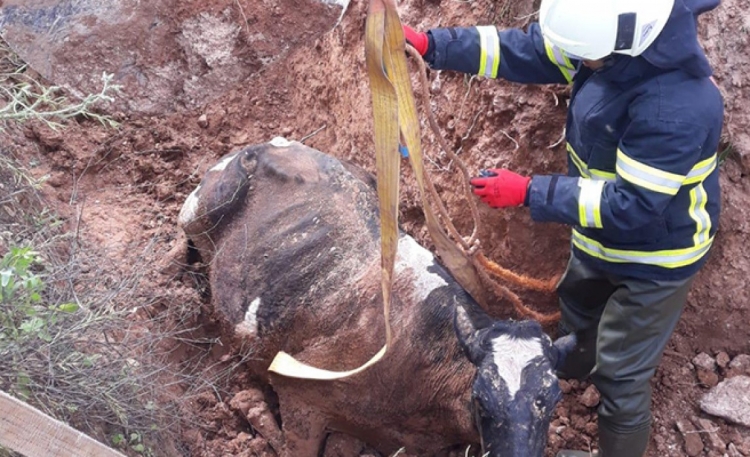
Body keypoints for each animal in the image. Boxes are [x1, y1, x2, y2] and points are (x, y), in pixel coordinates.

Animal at [178, 139, 568, 456]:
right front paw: (255, 408)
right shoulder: (297, 386)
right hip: (198, 209)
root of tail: (264, 146)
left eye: (551, 401)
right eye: (481, 400)